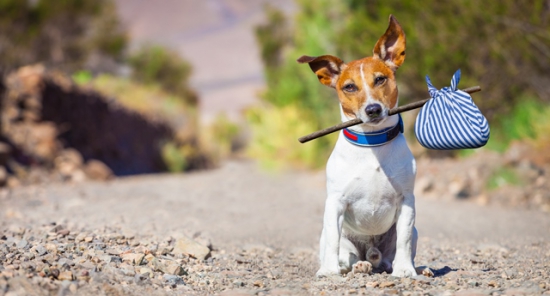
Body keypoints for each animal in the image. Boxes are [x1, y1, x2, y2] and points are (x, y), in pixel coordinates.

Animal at [300, 14, 424, 278]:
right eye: (349, 87)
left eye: (380, 79)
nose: (373, 109)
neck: (372, 145)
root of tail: (372, 253)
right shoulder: (335, 203)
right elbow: (333, 241)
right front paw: (328, 271)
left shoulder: (407, 201)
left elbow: (404, 239)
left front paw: (406, 270)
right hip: (339, 240)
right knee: (347, 255)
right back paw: (358, 265)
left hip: (408, 234)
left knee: (391, 257)